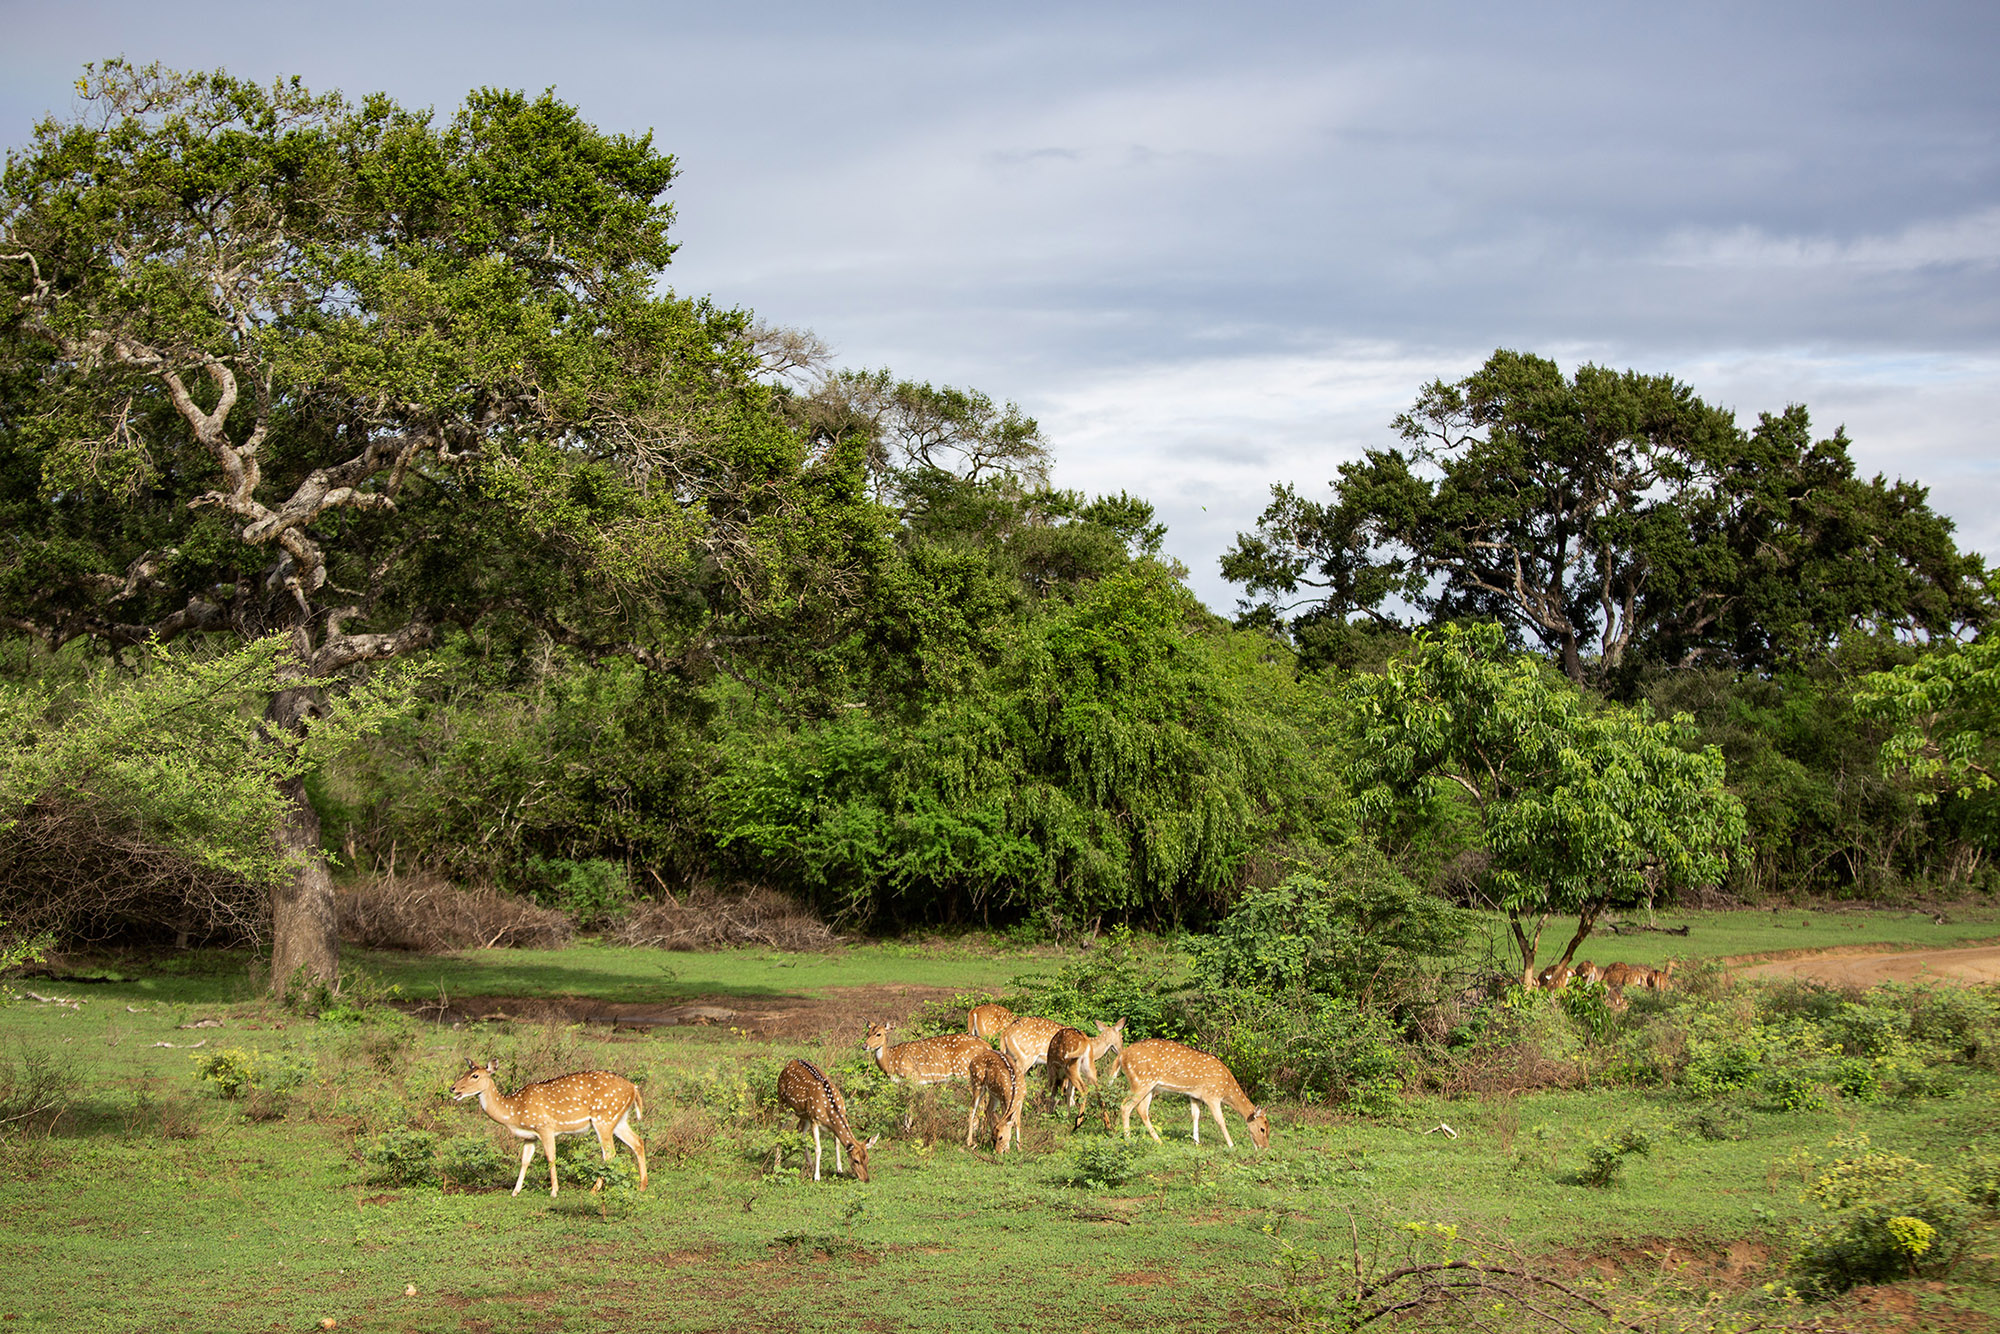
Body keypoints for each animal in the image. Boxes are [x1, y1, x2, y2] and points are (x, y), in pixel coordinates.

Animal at [450, 1060, 647, 1198]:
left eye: (475, 1076)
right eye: (466, 1072)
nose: (453, 1088)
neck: (513, 1112)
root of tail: (634, 1087)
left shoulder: (545, 1126)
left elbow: (550, 1157)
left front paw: (554, 1191)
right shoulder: (529, 1136)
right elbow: (525, 1160)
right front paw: (515, 1191)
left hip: (604, 1117)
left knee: (609, 1153)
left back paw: (594, 1189)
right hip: (619, 1119)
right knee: (638, 1142)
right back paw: (642, 1186)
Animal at [1106, 1040, 1270, 1150]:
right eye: (1262, 1128)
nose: (1264, 1148)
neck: (1226, 1088)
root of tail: (1121, 1056)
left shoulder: (1195, 1095)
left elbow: (1195, 1115)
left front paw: (1196, 1142)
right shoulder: (1212, 1095)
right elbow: (1220, 1120)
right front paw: (1231, 1144)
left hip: (1149, 1087)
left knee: (1142, 1110)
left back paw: (1159, 1141)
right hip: (1141, 1081)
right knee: (1126, 1106)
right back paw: (1128, 1140)